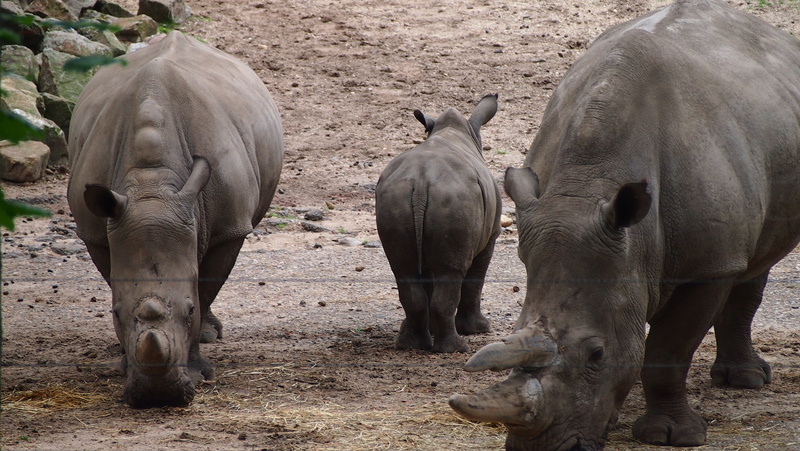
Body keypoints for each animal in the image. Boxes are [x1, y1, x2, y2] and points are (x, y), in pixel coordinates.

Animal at [67, 31, 284, 407]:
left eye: (189, 312)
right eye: (114, 314)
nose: (158, 398)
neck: (152, 186)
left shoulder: (229, 228)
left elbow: (206, 288)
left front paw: (200, 369)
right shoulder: (95, 230)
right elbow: (116, 281)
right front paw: (125, 362)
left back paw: (213, 334)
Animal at [375, 94, 501, 353]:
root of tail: (421, 182)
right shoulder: (492, 235)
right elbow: (476, 279)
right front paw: (480, 328)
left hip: (397, 197)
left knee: (404, 270)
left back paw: (410, 345)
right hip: (454, 198)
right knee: (451, 272)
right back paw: (456, 348)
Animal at [449, 1, 800, 449]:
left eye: (597, 354)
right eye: (509, 333)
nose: (538, 448)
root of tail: (773, 34)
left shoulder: (709, 266)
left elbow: (667, 352)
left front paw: (672, 435)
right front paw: (613, 419)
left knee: (755, 262)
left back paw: (746, 381)